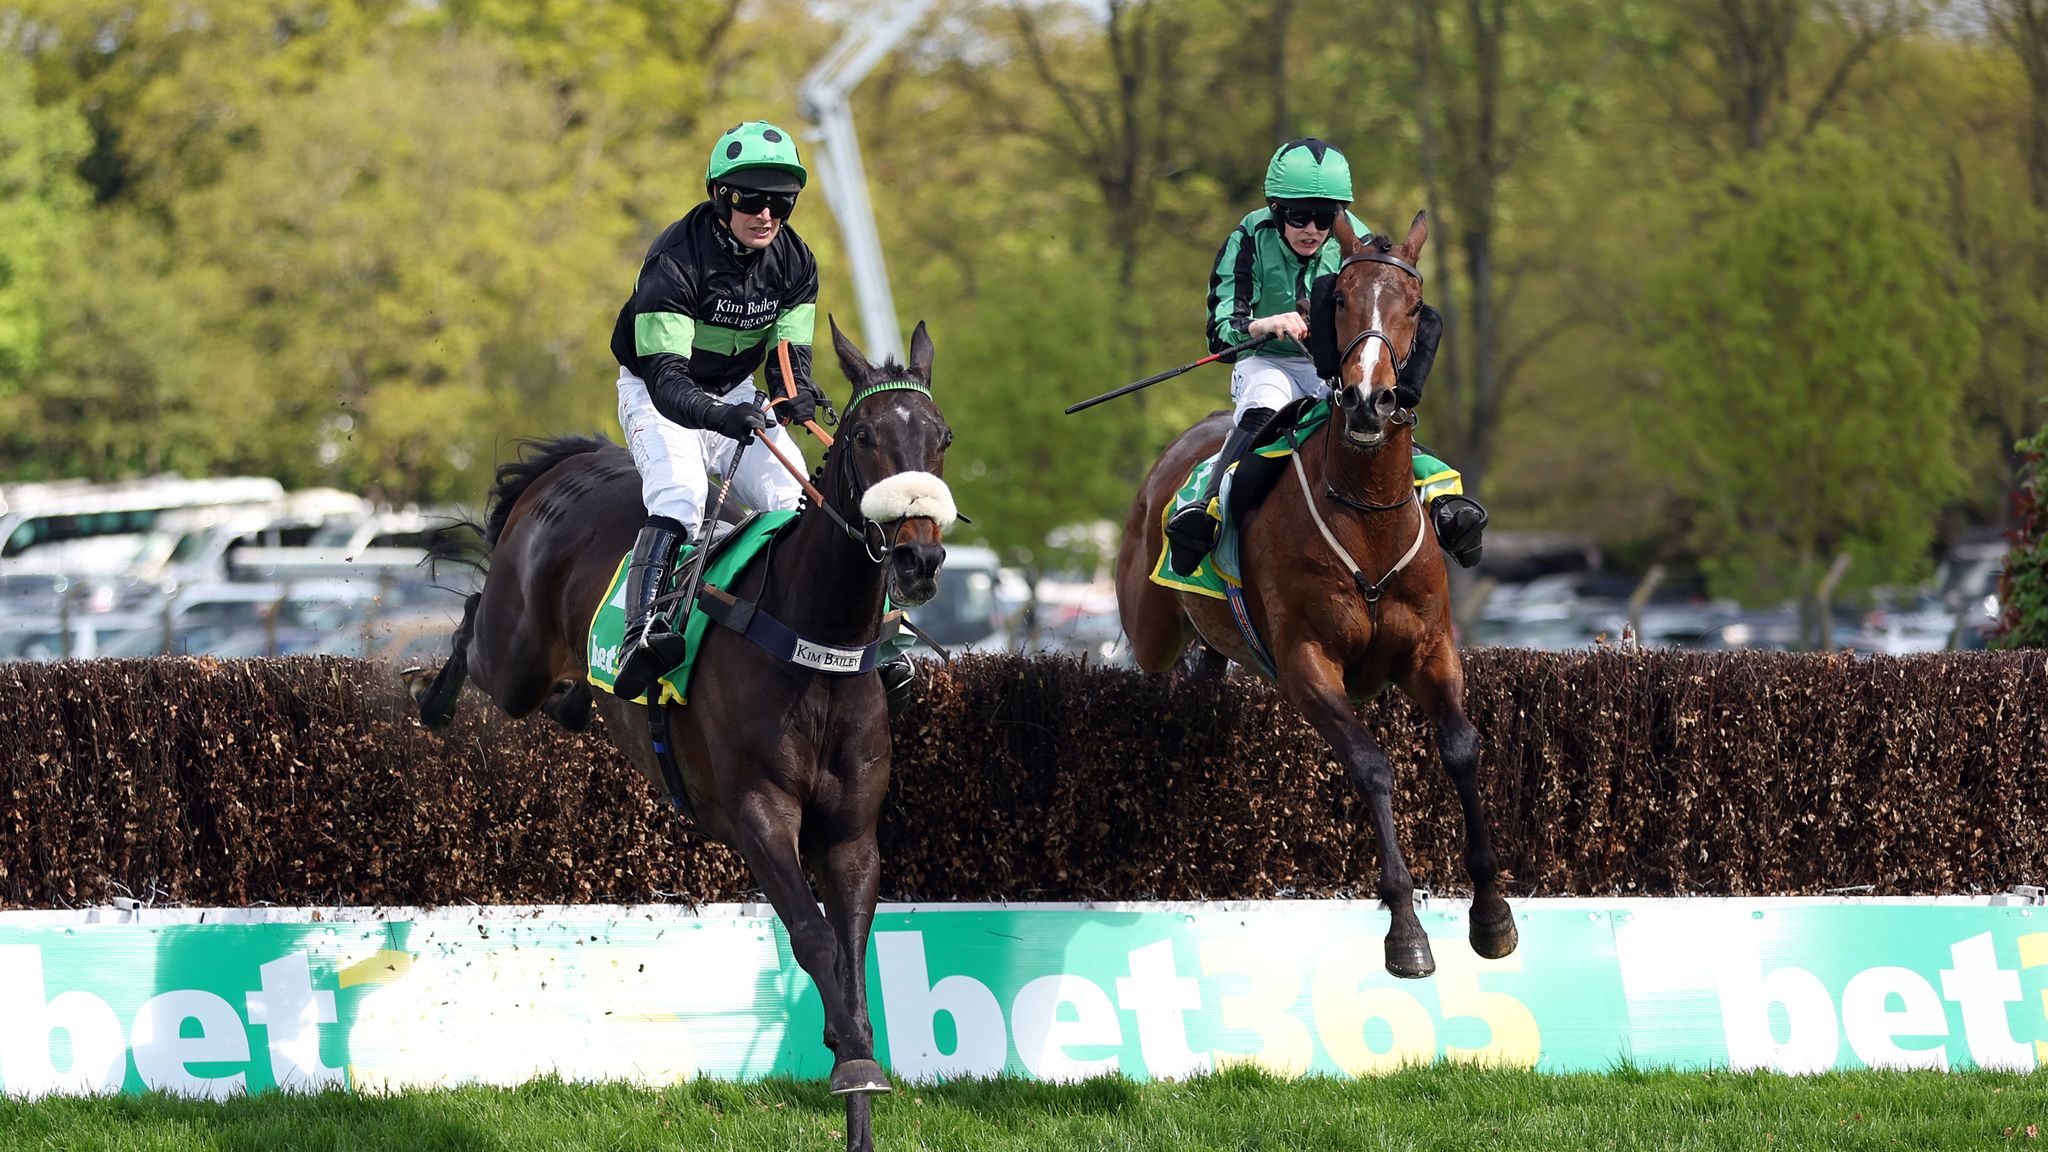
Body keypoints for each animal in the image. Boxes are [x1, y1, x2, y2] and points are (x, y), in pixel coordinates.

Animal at [419, 319, 962, 1147]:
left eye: (942, 437)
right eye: (863, 435)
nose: (919, 555)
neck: (814, 645)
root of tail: (571, 464)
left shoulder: (851, 831)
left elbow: (850, 950)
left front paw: (859, 1084)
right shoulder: (757, 813)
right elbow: (814, 938)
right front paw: (847, 1063)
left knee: (561, 694)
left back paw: (577, 700)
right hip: (513, 659)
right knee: (478, 620)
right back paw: (433, 699)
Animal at [1114, 208, 1515, 975]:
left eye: (1413, 305)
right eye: (1340, 300)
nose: (1366, 400)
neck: (1366, 516)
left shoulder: (1430, 649)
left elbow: (1461, 748)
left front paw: (1491, 912)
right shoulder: (1305, 663)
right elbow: (1371, 764)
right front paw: (1406, 930)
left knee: (1204, 669)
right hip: (1149, 623)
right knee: (1148, 668)